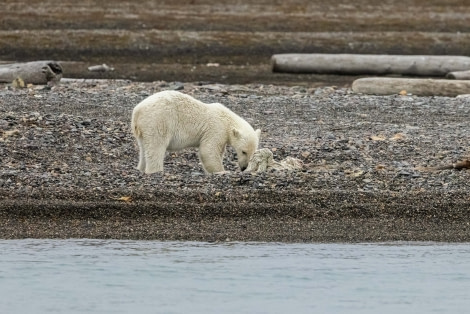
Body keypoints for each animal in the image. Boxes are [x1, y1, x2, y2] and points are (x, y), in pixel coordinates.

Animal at [131, 90, 260, 174]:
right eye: (243, 151)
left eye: (253, 153)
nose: (244, 167)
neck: (226, 119)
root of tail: (137, 111)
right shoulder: (216, 128)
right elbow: (208, 150)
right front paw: (223, 171)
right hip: (159, 121)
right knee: (156, 147)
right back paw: (156, 171)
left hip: (142, 129)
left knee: (143, 148)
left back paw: (141, 168)